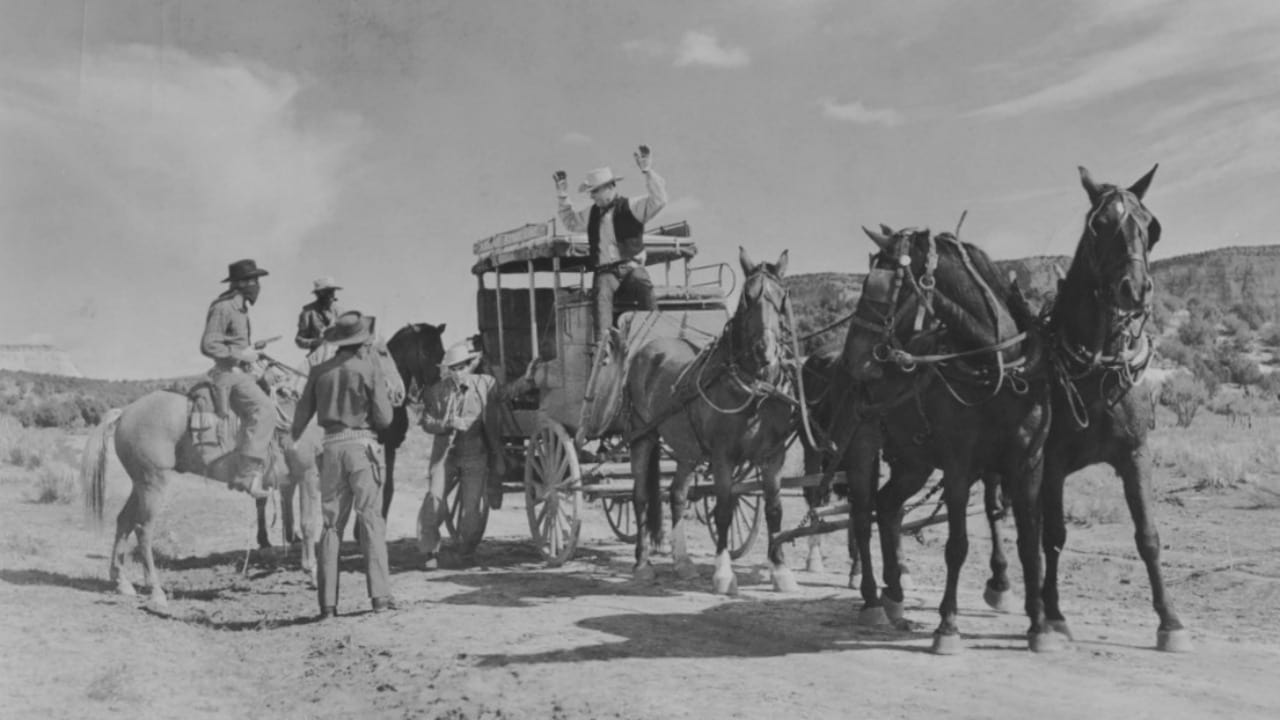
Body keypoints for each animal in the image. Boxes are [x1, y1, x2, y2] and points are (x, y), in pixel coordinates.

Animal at [834, 224, 1054, 650]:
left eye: (882, 286)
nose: (853, 360)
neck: (999, 367)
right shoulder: (957, 467)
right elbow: (957, 546)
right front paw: (947, 625)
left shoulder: (1027, 465)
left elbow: (1029, 545)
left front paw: (1038, 625)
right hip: (864, 449)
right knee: (863, 514)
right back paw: (872, 597)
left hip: (913, 462)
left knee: (888, 506)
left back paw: (895, 592)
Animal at [1039, 163, 1187, 650]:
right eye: (1099, 225)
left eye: (1150, 226)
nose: (1134, 289)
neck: (1097, 365)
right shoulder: (1050, 461)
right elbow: (1054, 534)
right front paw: (1053, 615)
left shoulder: (1135, 453)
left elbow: (1148, 536)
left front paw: (1170, 621)